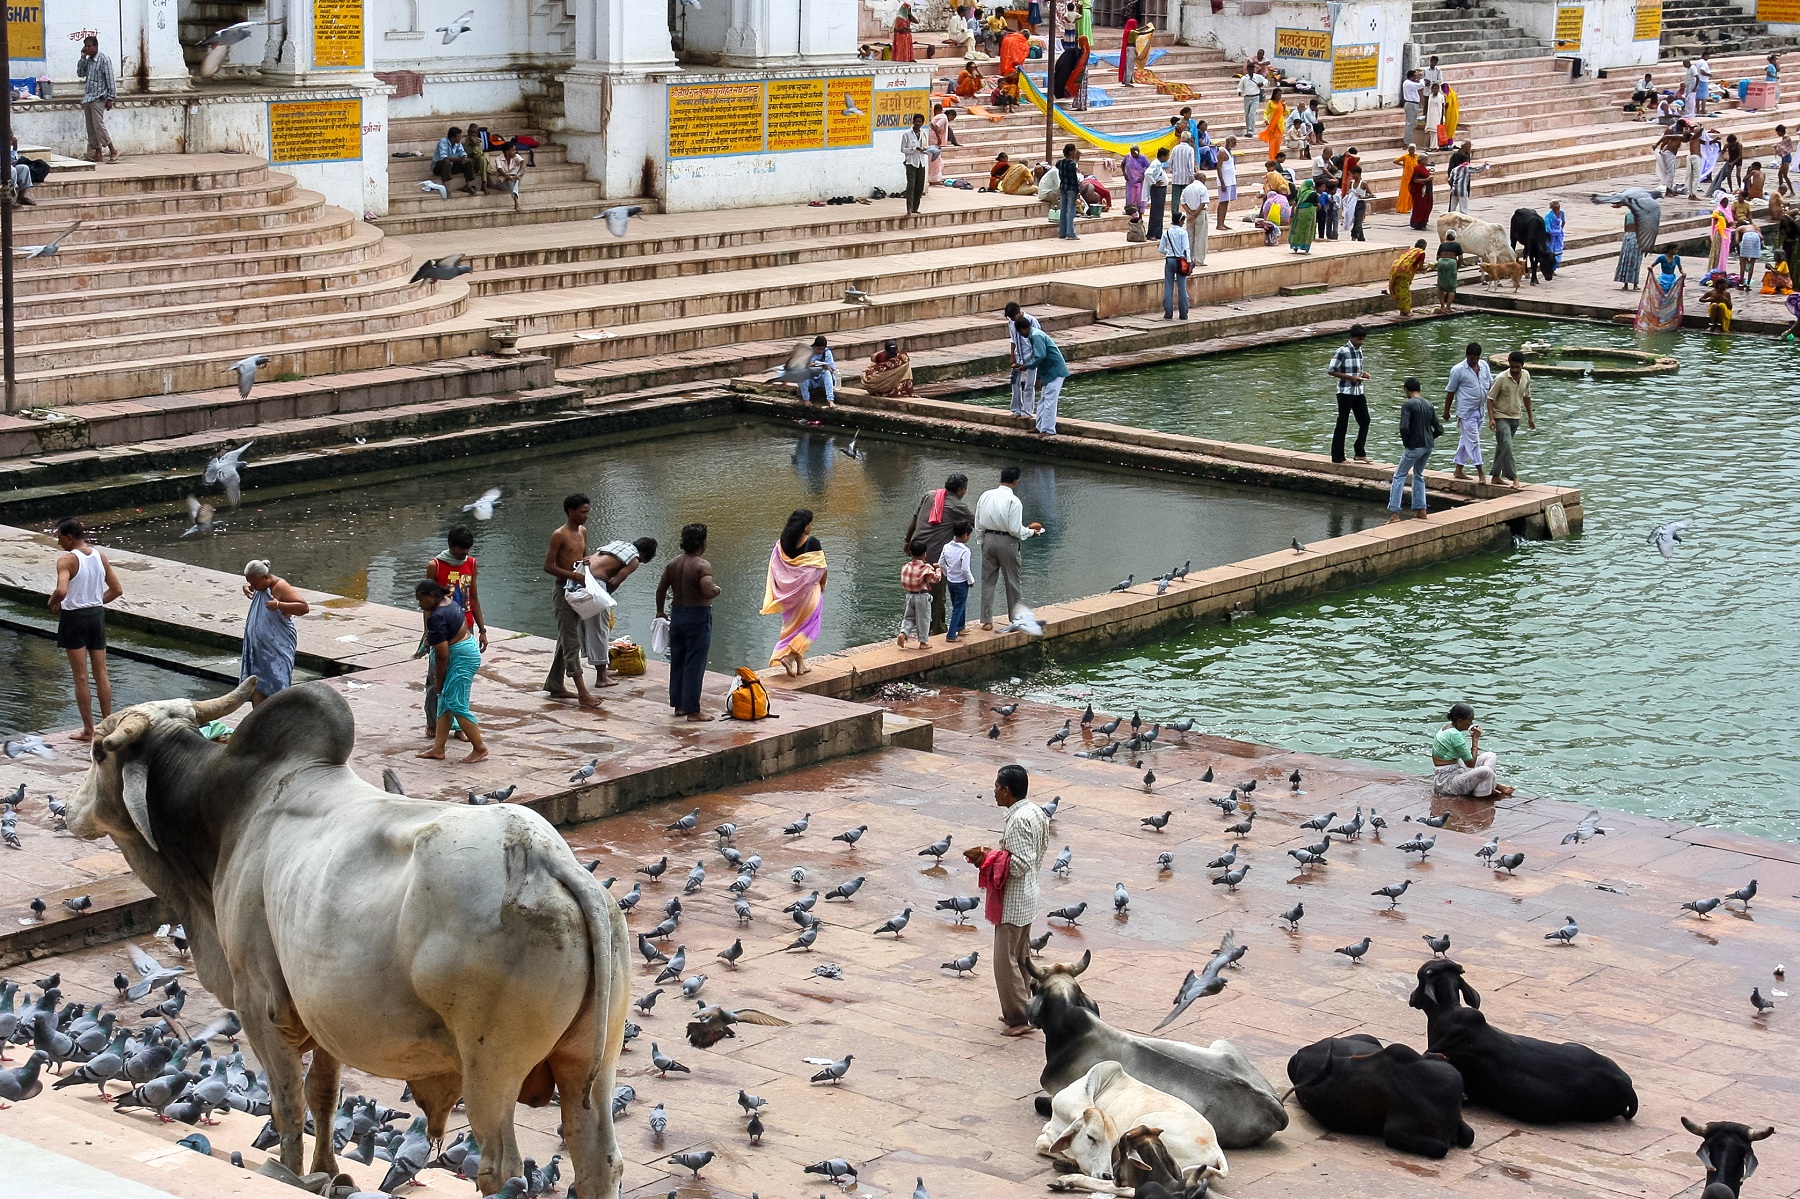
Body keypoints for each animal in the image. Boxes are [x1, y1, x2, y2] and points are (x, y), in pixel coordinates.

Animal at [65, 680, 633, 1195]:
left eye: (97, 752)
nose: (70, 812)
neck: (226, 814)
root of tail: (553, 862)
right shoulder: (322, 1010)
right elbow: (323, 1095)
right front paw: (328, 1173)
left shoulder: (260, 1004)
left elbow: (288, 1105)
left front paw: (290, 1172)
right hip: (590, 1065)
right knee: (599, 1159)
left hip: (489, 1066)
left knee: (502, 1166)